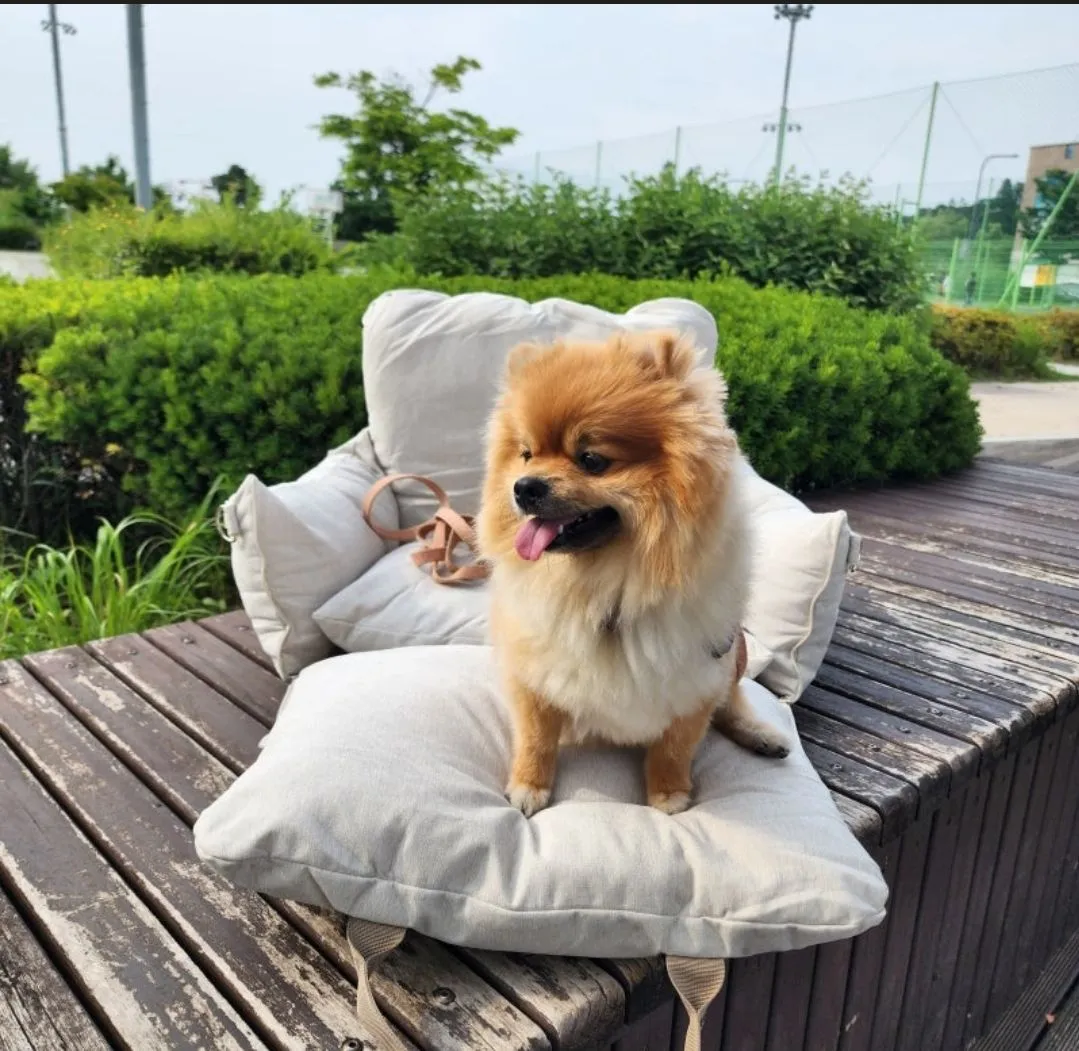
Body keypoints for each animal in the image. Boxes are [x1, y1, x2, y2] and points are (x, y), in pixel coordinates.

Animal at [477, 328, 790, 817]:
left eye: (591, 459)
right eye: (526, 454)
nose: (523, 487)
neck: (609, 585)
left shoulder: (696, 679)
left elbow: (675, 747)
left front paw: (669, 795)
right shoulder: (533, 670)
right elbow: (536, 737)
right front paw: (529, 786)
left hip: (733, 651)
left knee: (732, 699)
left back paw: (760, 734)